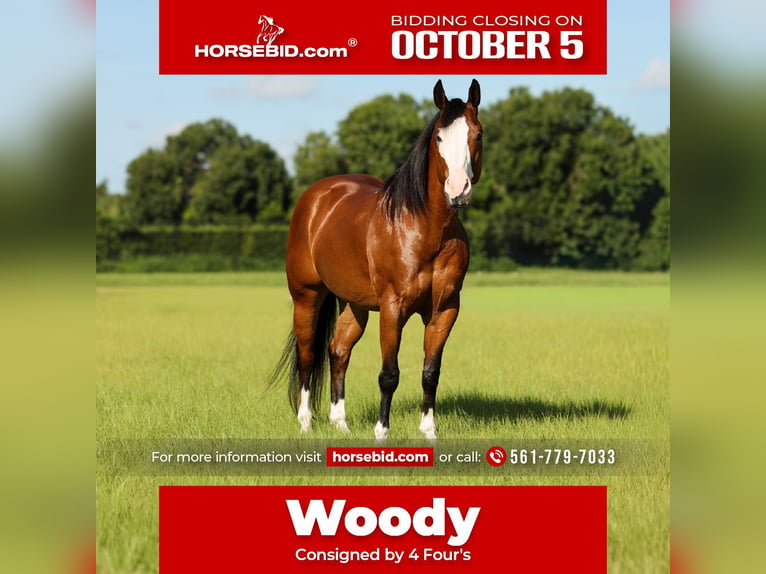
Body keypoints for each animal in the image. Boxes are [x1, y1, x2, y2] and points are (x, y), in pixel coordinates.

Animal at [269, 79, 483, 440]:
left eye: (477, 135)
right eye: (439, 137)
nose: (458, 190)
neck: (424, 229)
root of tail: (316, 197)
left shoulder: (444, 310)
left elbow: (430, 372)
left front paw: (429, 431)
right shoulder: (392, 308)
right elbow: (389, 373)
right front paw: (382, 431)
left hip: (354, 304)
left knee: (338, 350)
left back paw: (340, 423)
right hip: (306, 295)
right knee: (308, 354)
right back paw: (306, 422)